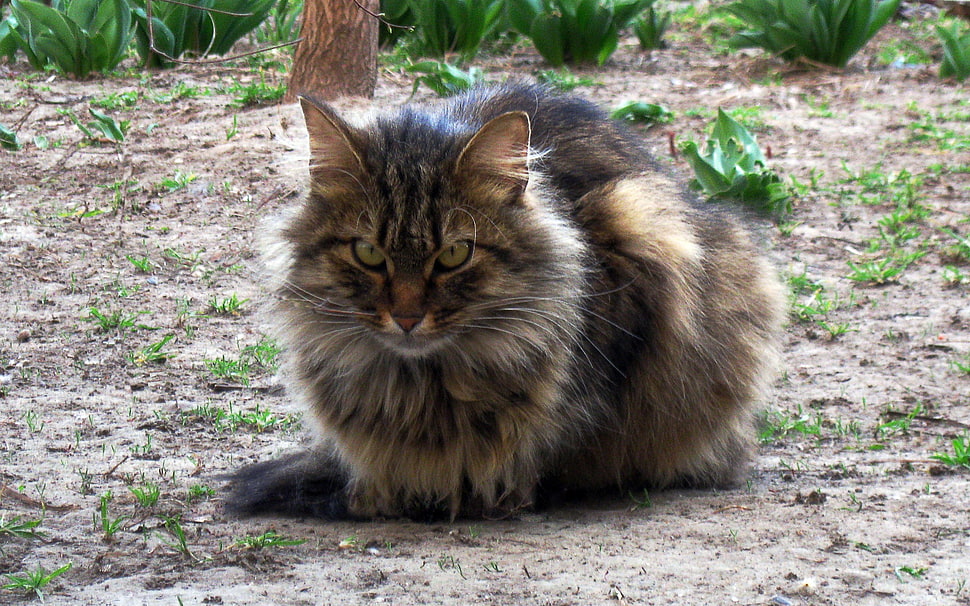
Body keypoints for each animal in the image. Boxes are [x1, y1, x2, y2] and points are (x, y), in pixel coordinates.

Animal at [229, 82, 788, 524]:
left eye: (455, 254)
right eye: (368, 253)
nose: (407, 318)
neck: (423, 388)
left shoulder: (640, 249)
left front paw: (494, 495)